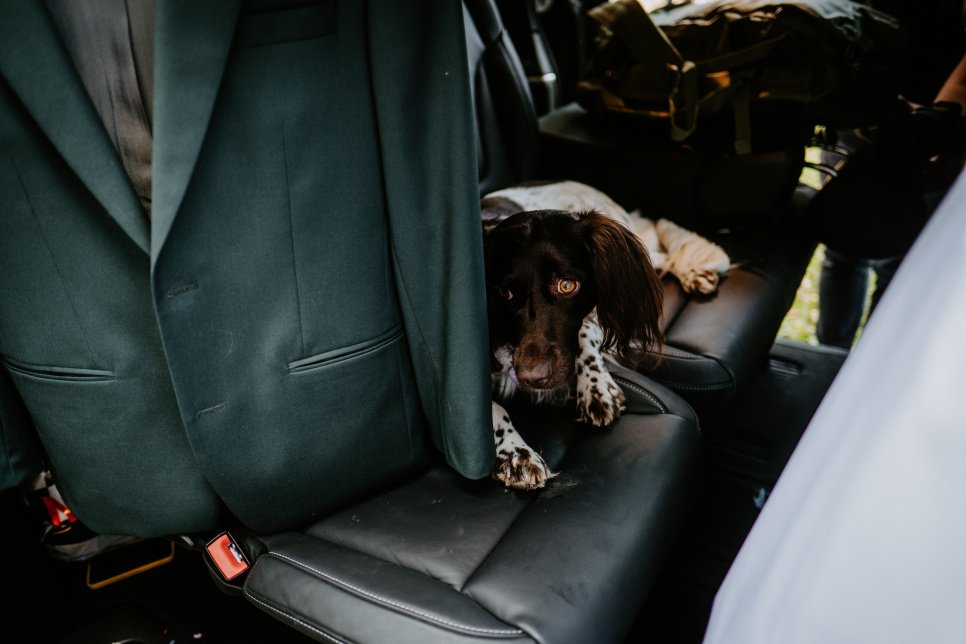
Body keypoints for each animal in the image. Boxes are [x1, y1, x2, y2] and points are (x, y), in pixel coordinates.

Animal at [482, 180, 730, 490]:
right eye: (504, 292)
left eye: (567, 285)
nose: (533, 377)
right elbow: (489, 408)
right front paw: (515, 452)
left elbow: (586, 333)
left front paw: (596, 387)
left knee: (659, 257)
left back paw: (695, 272)